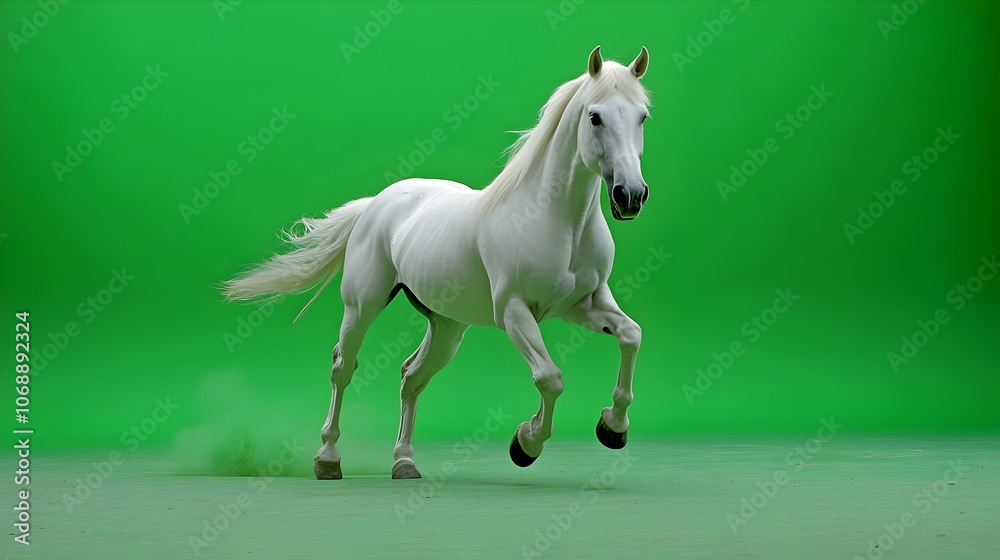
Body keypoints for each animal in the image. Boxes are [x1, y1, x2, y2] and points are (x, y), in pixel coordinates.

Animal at [222, 46, 652, 479]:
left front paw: (613, 428)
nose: (630, 195)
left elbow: (630, 335)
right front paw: (526, 444)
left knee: (412, 376)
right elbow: (550, 378)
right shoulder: (514, 312)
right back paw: (328, 458)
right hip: (362, 307)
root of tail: (374, 204)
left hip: (448, 326)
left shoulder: (583, 304)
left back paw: (404, 462)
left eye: (642, 116)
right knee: (343, 367)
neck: (558, 221)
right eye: (595, 116)